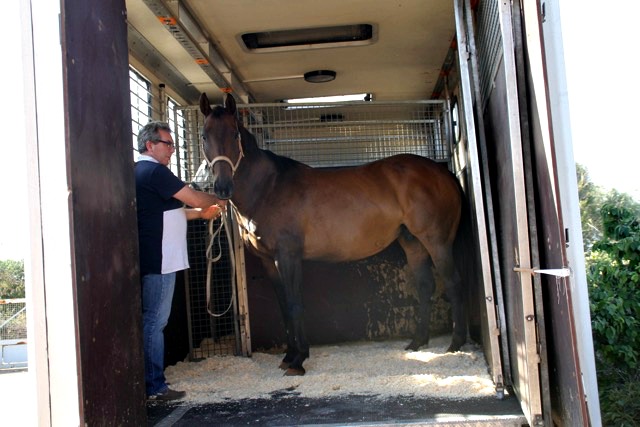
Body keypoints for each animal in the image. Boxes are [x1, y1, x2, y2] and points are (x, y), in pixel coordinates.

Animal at [199, 93, 464, 374]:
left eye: (234, 134)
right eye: (204, 136)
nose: (222, 188)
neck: (268, 188)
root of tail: (442, 172)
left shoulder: (288, 256)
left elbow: (294, 305)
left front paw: (298, 360)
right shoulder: (269, 260)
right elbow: (283, 308)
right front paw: (288, 356)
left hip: (437, 242)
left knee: (453, 282)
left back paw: (456, 344)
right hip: (413, 243)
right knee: (425, 287)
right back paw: (417, 342)